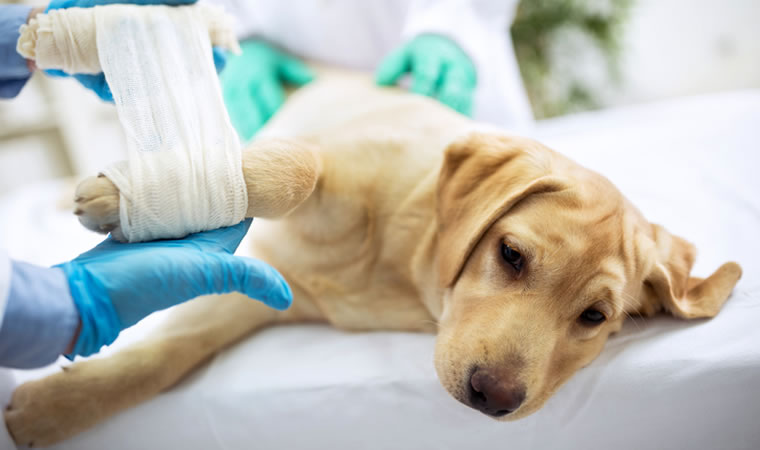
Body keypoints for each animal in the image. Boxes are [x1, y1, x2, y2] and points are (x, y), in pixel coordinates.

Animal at [4, 71, 744, 446]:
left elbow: (165, 357)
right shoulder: (328, 160)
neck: (405, 265)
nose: (493, 398)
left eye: (594, 318)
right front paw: (130, 194)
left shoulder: (261, 293)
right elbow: (297, 166)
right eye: (509, 254)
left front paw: (53, 409)